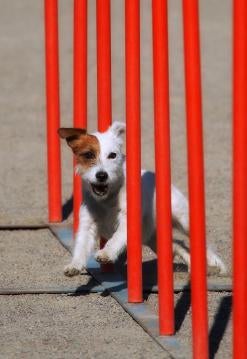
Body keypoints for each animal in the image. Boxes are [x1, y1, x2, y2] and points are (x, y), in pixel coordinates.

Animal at [58, 122, 226, 278]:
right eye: (88, 155)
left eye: (112, 155)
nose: (102, 175)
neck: (108, 198)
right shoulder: (88, 224)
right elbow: (81, 245)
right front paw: (74, 265)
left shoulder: (128, 221)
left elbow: (117, 237)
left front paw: (107, 253)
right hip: (153, 238)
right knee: (179, 246)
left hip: (184, 220)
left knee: (203, 242)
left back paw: (217, 264)